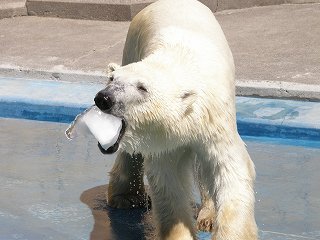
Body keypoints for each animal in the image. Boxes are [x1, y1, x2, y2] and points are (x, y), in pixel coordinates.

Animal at [94, 0, 258, 239]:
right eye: (112, 79)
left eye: (142, 87)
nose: (104, 98)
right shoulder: (164, 140)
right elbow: (168, 180)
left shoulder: (214, 118)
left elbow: (228, 169)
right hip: (131, 46)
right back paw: (125, 197)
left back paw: (208, 217)